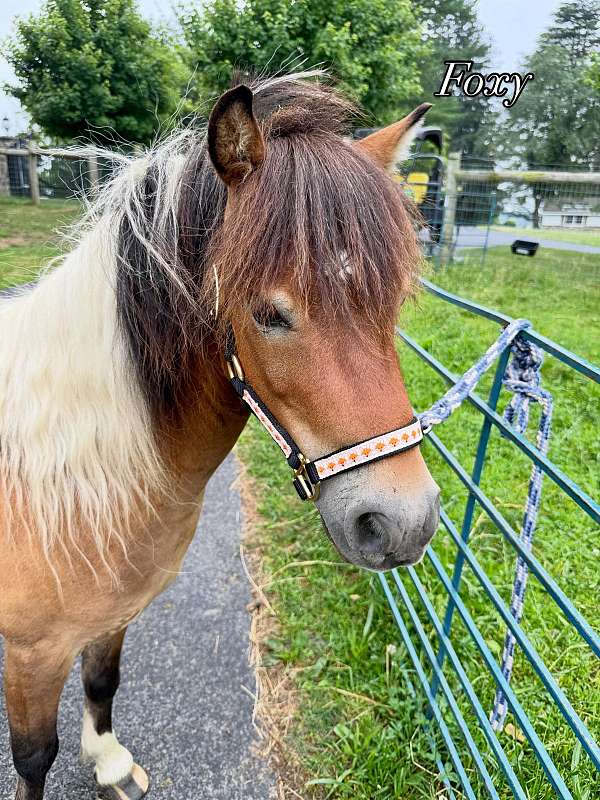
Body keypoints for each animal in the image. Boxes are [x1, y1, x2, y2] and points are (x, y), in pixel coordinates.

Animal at [0, 72, 440, 799]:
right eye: (269, 314)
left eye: (395, 300)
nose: (403, 523)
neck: (72, 465)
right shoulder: (32, 653)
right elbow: (35, 757)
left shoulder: (115, 614)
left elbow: (103, 680)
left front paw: (110, 763)